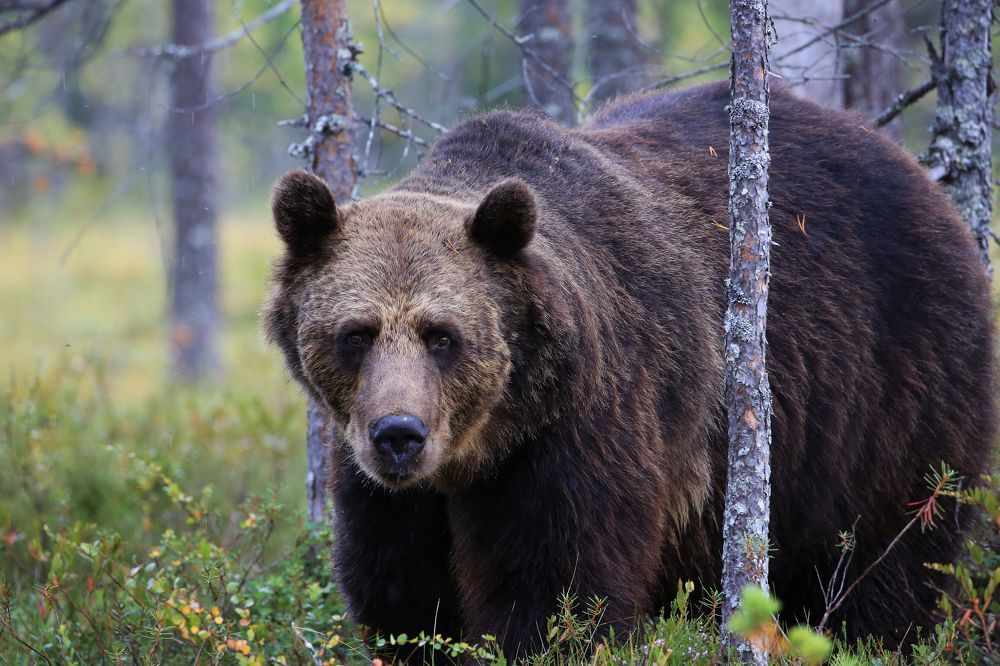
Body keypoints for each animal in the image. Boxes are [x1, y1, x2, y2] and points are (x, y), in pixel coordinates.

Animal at [263, 81, 995, 659]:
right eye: (356, 334)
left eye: (443, 336)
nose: (399, 435)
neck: (481, 446)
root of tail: (921, 179)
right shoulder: (383, 489)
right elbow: (401, 594)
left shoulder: (584, 426)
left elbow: (558, 588)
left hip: (888, 397)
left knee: (888, 557)